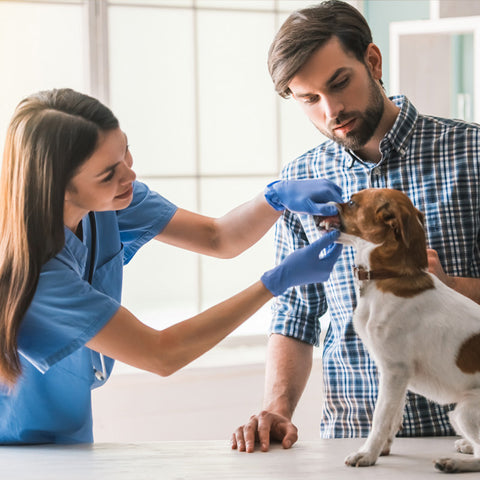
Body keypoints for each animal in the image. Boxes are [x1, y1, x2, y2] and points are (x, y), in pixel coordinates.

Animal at [318, 188, 480, 472]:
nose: (317, 210)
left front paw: (366, 453)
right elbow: (394, 416)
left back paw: (453, 463)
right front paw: (381, 449)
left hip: (466, 409)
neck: (387, 277)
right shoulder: (397, 376)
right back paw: (465, 446)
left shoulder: (394, 370)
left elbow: (380, 417)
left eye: (351, 202)